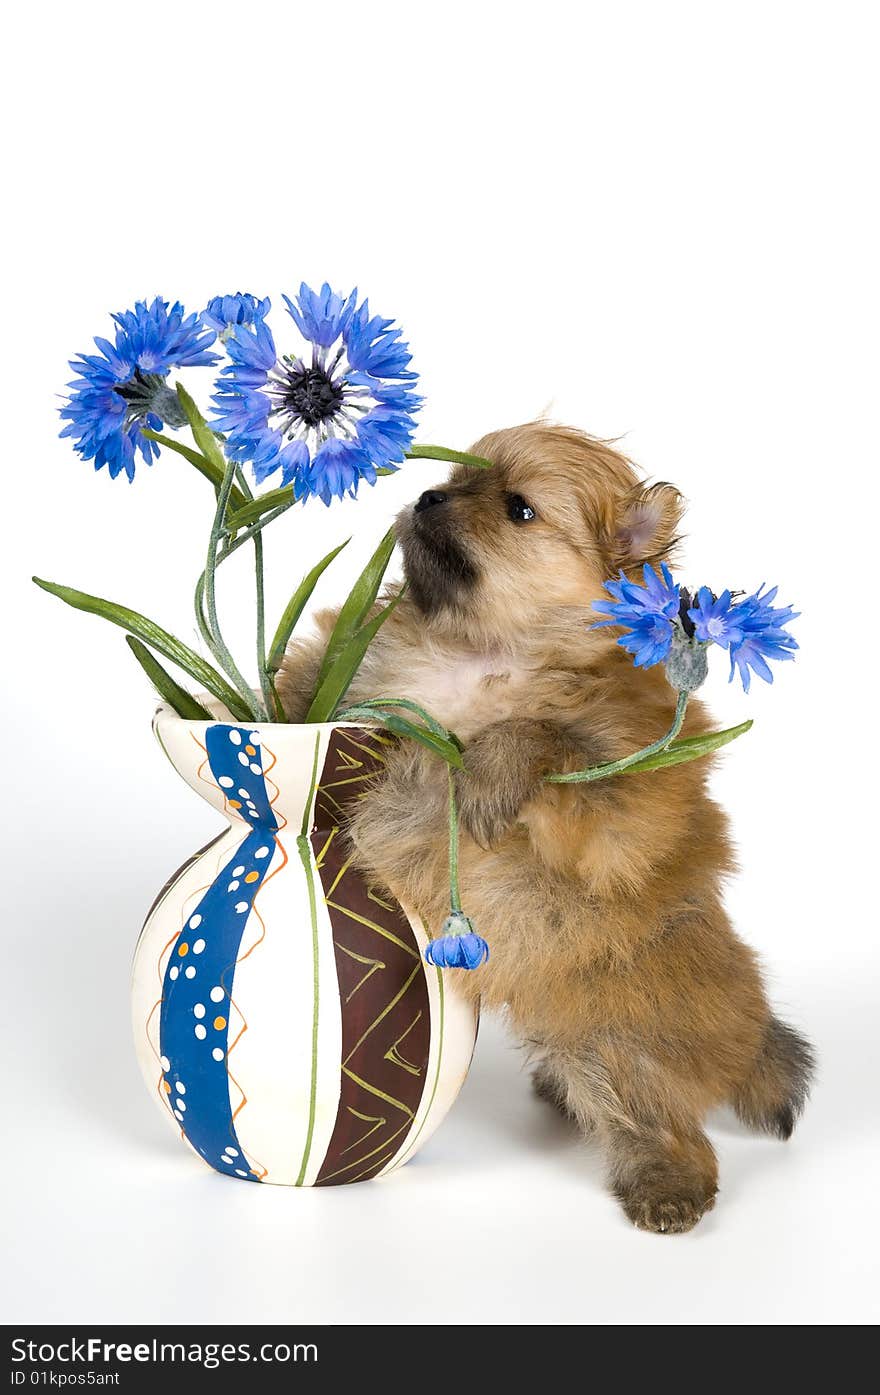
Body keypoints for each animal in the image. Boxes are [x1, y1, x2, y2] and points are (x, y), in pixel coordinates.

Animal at [277, 421, 814, 1233]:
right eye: (456, 482)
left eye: (519, 509)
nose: (428, 496)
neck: (479, 653)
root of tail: (751, 1027)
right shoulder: (365, 682)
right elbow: (306, 684)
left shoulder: (621, 808)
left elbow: (540, 735)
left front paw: (488, 774)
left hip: (618, 1044)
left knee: (663, 1124)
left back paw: (667, 1187)